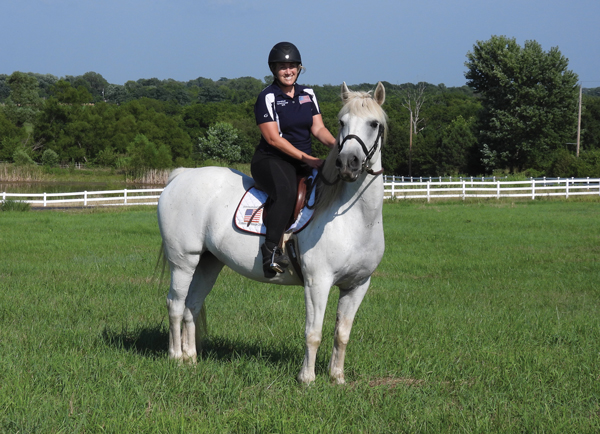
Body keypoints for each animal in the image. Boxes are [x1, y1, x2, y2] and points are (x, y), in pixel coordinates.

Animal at [157, 81, 386, 384]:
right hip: (183, 261)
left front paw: (337, 378)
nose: (348, 163)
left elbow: (342, 334)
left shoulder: (357, 285)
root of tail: (181, 175)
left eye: (374, 123)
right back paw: (175, 358)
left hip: (208, 262)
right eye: (341, 122)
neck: (354, 218)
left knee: (191, 306)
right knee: (175, 304)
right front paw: (307, 379)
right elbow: (313, 333)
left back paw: (191, 358)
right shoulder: (318, 283)